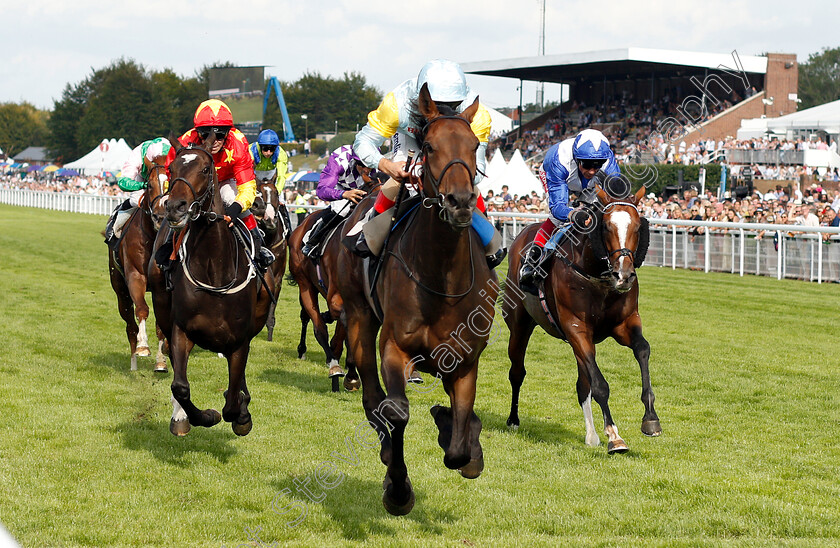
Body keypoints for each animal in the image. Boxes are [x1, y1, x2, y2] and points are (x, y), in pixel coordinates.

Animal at [106, 154, 169, 372]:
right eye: (149, 185)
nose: (160, 216)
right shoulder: (135, 276)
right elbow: (142, 309)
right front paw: (143, 347)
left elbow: (162, 324)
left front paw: (161, 360)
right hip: (120, 289)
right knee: (130, 326)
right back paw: (133, 361)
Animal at [148, 136, 270, 436]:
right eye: (172, 169)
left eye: (205, 170)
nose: (175, 207)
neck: (215, 269)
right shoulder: (182, 330)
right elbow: (180, 386)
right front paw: (202, 416)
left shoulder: (239, 340)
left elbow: (233, 401)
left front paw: (241, 414)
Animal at [334, 84, 496, 512]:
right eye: (430, 145)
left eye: (475, 145)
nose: (460, 202)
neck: (443, 277)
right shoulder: (395, 346)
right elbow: (398, 411)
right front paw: (398, 488)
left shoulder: (465, 359)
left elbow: (460, 439)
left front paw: (457, 433)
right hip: (359, 318)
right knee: (373, 397)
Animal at [502, 180, 660, 454]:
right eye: (606, 226)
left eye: (637, 227)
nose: (624, 275)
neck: (597, 275)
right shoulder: (576, 328)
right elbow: (600, 386)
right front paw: (614, 436)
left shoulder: (624, 324)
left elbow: (642, 350)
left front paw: (650, 419)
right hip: (520, 325)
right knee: (517, 371)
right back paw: (513, 420)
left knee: (581, 384)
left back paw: (591, 435)